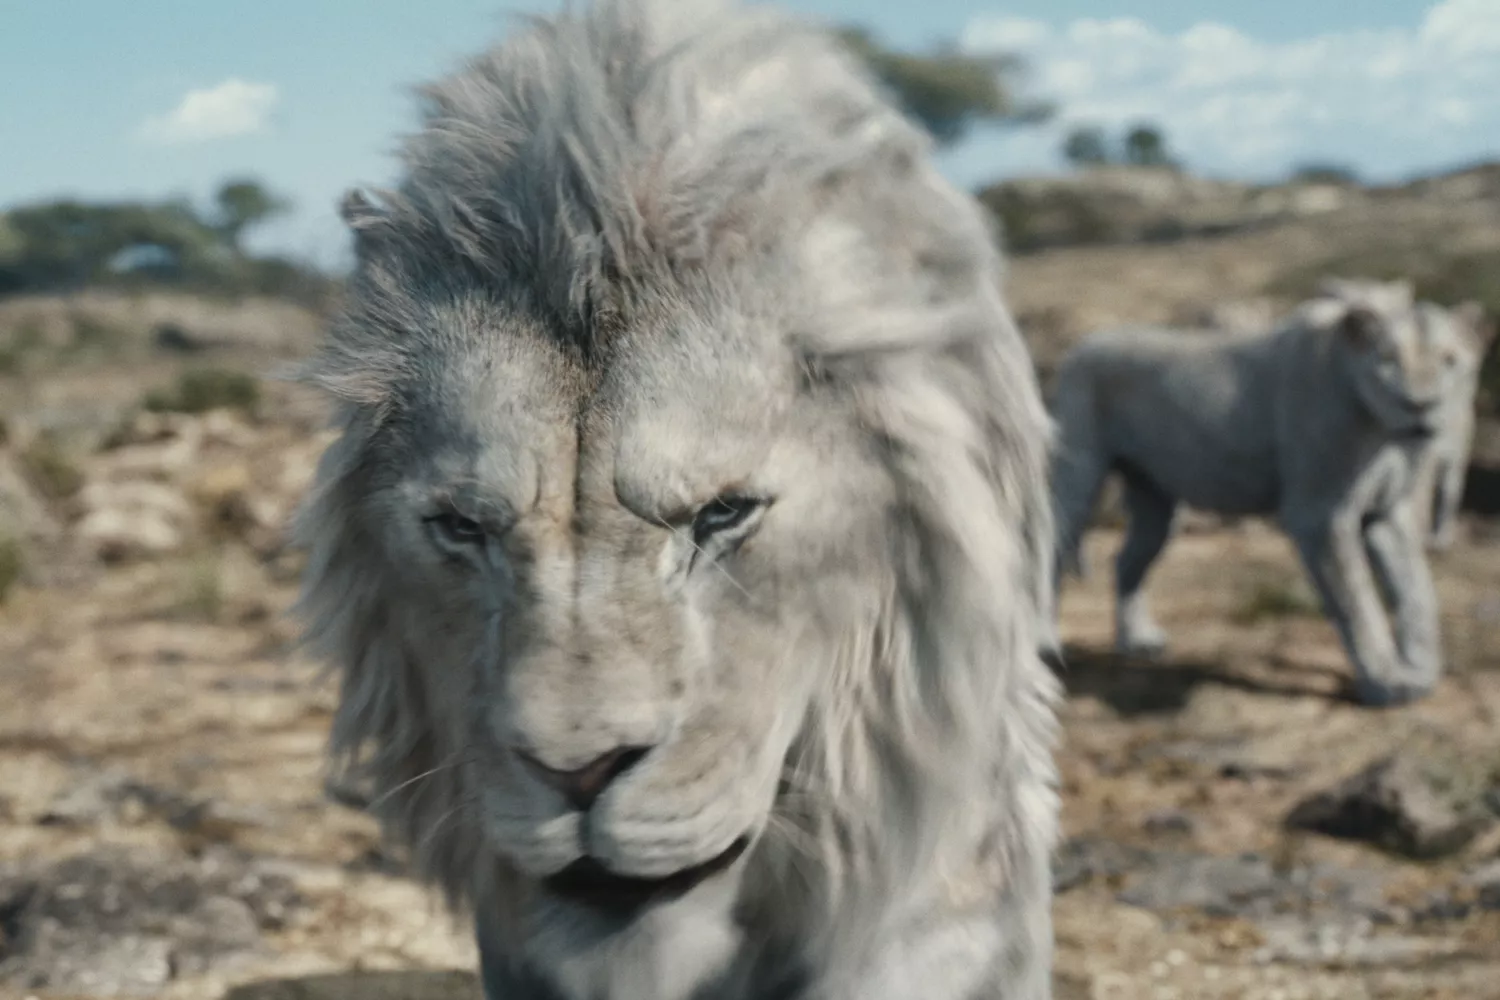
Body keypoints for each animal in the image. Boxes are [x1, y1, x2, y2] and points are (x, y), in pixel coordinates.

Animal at [1047, 278, 1473, 707]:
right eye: (1387, 358)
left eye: (1449, 359)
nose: (1421, 405)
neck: (1382, 430)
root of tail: (1080, 347)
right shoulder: (1319, 515)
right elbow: (1357, 602)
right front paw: (1386, 683)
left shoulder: (1386, 511)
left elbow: (1416, 592)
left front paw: (1421, 672)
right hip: (1079, 475)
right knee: (1050, 552)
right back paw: (1046, 645)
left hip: (1156, 505)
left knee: (1125, 561)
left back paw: (1136, 642)